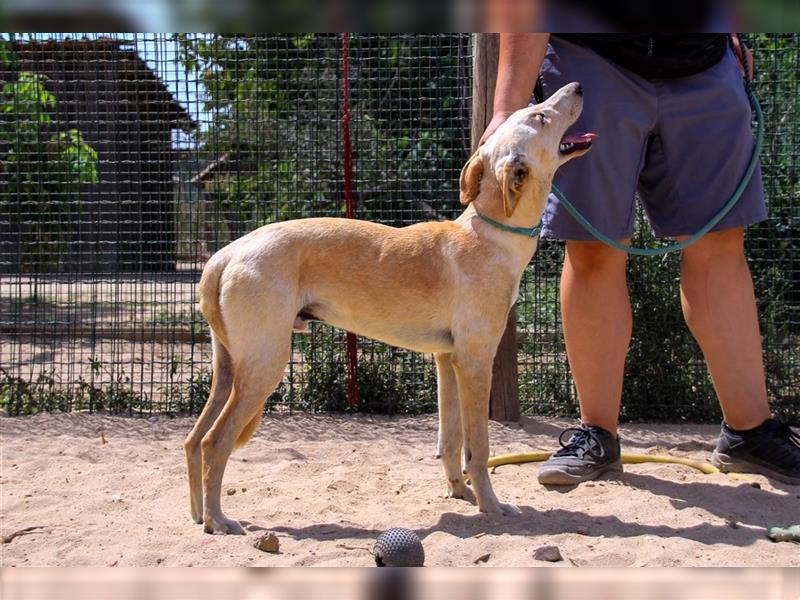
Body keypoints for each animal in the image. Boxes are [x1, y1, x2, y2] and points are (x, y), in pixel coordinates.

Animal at [184, 81, 592, 536]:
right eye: (540, 116)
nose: (577, 86)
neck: (488, 234)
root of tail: (225, 254)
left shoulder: (446, 360)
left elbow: (451, 442)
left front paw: (460, 494)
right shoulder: (474, 363)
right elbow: (479, 450)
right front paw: (491, 506)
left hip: (230, 369)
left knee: (193, 440)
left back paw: (199, 515)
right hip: (264, 366)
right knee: (214, 441)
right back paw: (219, 520)